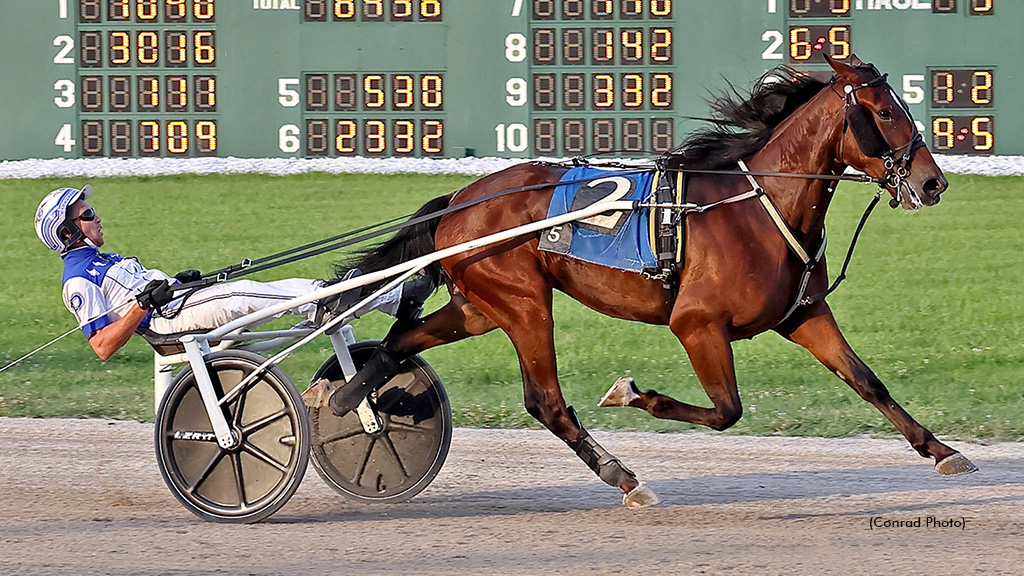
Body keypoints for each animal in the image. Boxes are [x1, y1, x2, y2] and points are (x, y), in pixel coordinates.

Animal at [325, 56, 974, 506]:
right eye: (885, 112)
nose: (934, 182)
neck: (758, 207)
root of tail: (460, 201)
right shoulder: (696, 324)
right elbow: (726, 410)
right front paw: (632, 393)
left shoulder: (802, 315)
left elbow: (868, 382)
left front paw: (944, 452)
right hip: (524, 303)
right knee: (545, 401)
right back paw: (624, 477)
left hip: (480, 306)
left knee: (400, 340)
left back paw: (352, 399)